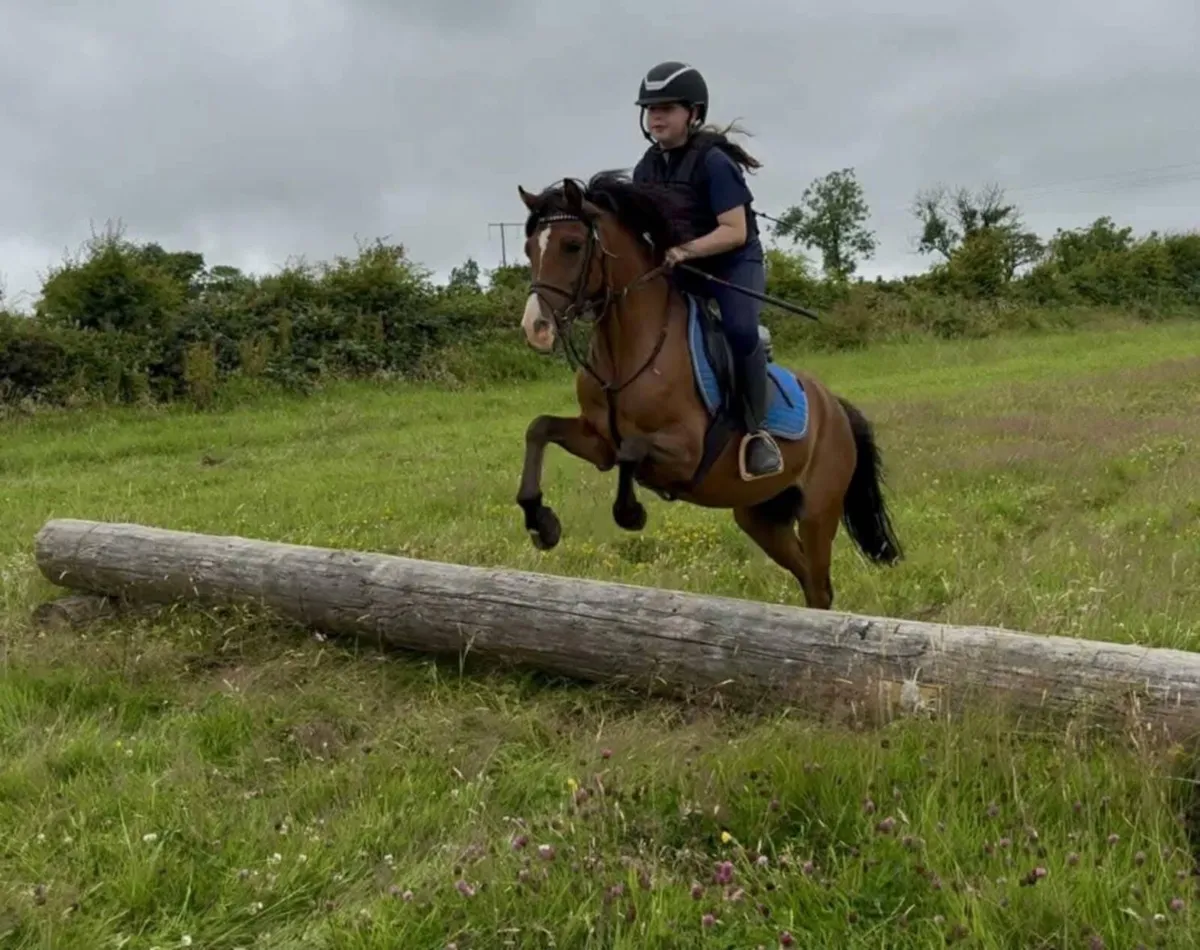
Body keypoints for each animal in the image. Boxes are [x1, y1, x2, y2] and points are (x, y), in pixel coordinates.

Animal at [513, 171, 902, 610]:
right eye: (529, 249)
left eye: (573, 245)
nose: (535, 328)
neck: (626, 351)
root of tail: (835, 406)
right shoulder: (598, 443)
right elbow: (539, 428)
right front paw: (541, 522)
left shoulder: (686, 453)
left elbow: (631, 450)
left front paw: (630, 513)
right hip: (761, 515)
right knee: (810, 581)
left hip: (818, 510)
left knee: (819, 582)